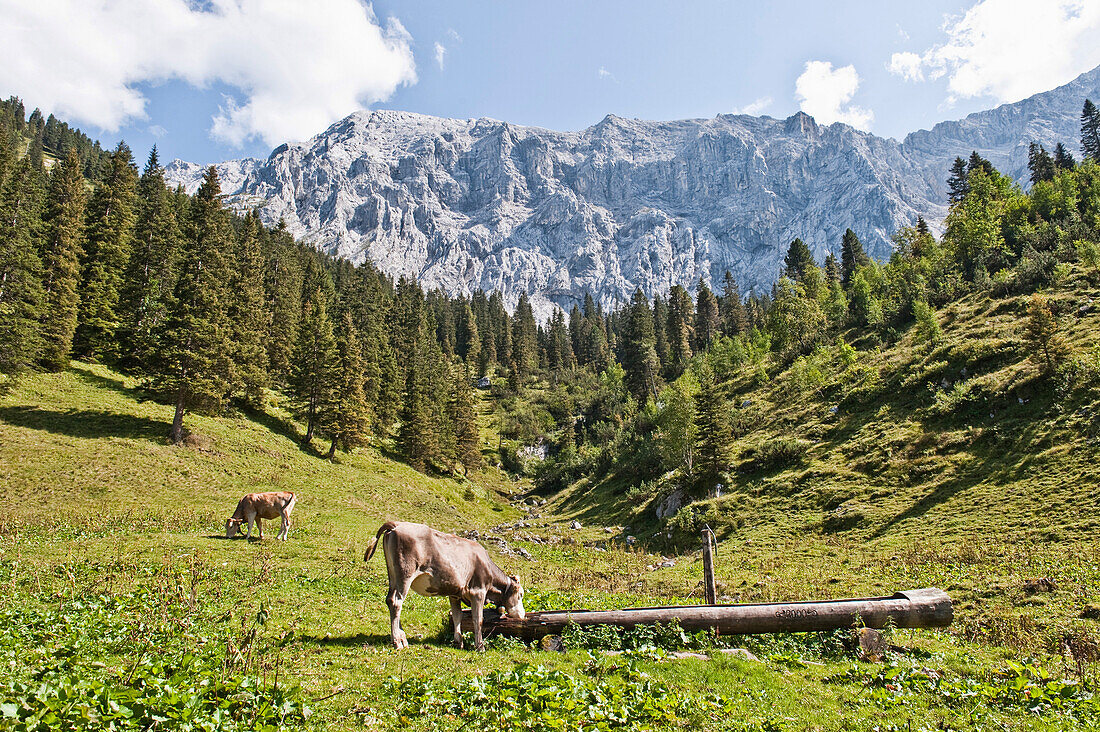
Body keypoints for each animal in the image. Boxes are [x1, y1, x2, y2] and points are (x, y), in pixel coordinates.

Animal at [363, 519, 525, 651]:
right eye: (521, 595)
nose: (523, 615)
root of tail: (396, 524)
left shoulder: (455, 594)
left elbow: (457, 616)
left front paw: (458, 642)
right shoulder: (478, 591)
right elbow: (478, 619)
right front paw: (480, 646)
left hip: (393, 575)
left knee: (390, 600)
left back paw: (401, 637)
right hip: (405, 574)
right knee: (396, 602)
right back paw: (397, 641)